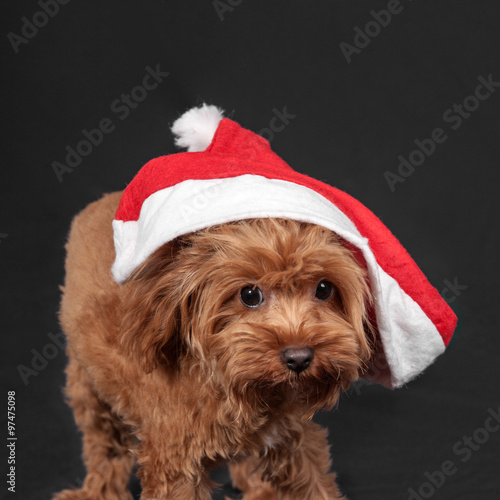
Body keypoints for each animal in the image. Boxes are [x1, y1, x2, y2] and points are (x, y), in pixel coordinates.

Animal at [53, 189, 376, 498]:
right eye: (250, 294)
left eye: (324, 289)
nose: (299, 357)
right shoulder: (175, 464)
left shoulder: (293, 438)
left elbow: (313, 484)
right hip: (88, 389)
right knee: (105, 448)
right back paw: (96, 491)